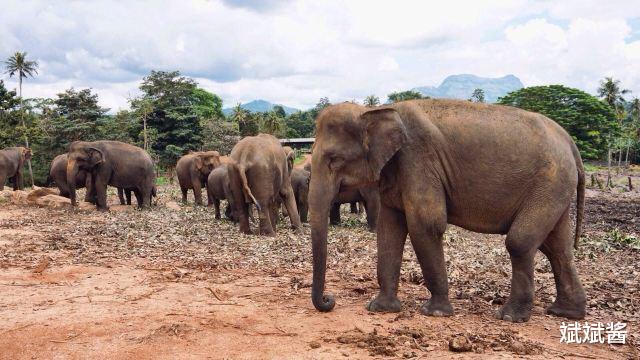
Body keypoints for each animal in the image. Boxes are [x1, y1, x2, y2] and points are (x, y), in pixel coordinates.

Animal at [308, 99, 584, 324]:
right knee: (557, 247)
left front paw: (435, 313)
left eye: (334, 159)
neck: (375, 110)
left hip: (550, 182)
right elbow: (389, 230)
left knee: (521, 242)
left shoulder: (418, 160)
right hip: (555, 188)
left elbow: (426, 224)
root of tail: (570, 143)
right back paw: (565, 313)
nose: (329, 300)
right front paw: (380, 308)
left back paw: (510, 316)